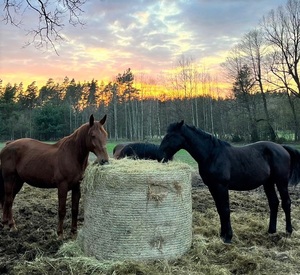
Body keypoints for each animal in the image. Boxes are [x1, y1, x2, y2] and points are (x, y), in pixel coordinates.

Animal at [159, 121, 300, 244]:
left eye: (170, 135)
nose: (161, 155)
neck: (212, 154)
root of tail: (282, 147)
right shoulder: (212, 187)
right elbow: (220, 210)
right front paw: (222, 235)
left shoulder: (222, 187)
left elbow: (225, 210)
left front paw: (228, 237)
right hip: (268, 183)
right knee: (273, 203)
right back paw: (271, 230)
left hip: (281, 182)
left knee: (286, 203)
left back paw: (288, 231)